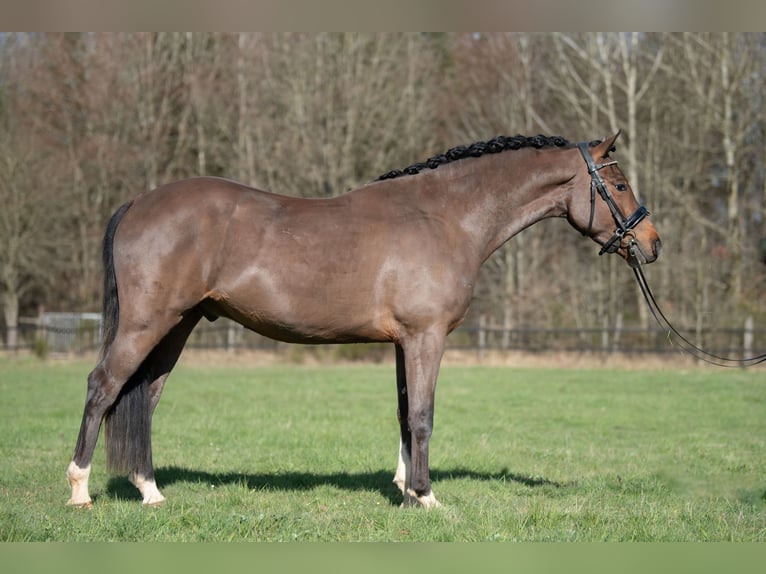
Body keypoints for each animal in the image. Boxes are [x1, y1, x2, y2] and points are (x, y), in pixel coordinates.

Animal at [66, 131, 661, 509]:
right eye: (620, 184)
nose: (652, 242)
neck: (445, 216)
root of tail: (140, 202)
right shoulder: (425, 338)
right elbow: (422, 415)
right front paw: (425, 496)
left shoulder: (403, 342)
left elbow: (402, 413)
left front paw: (403, 488)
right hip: (148, 322)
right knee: (103, 386)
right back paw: (79, 491)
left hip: (179, 325)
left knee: (144, 396)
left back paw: (150, 491)